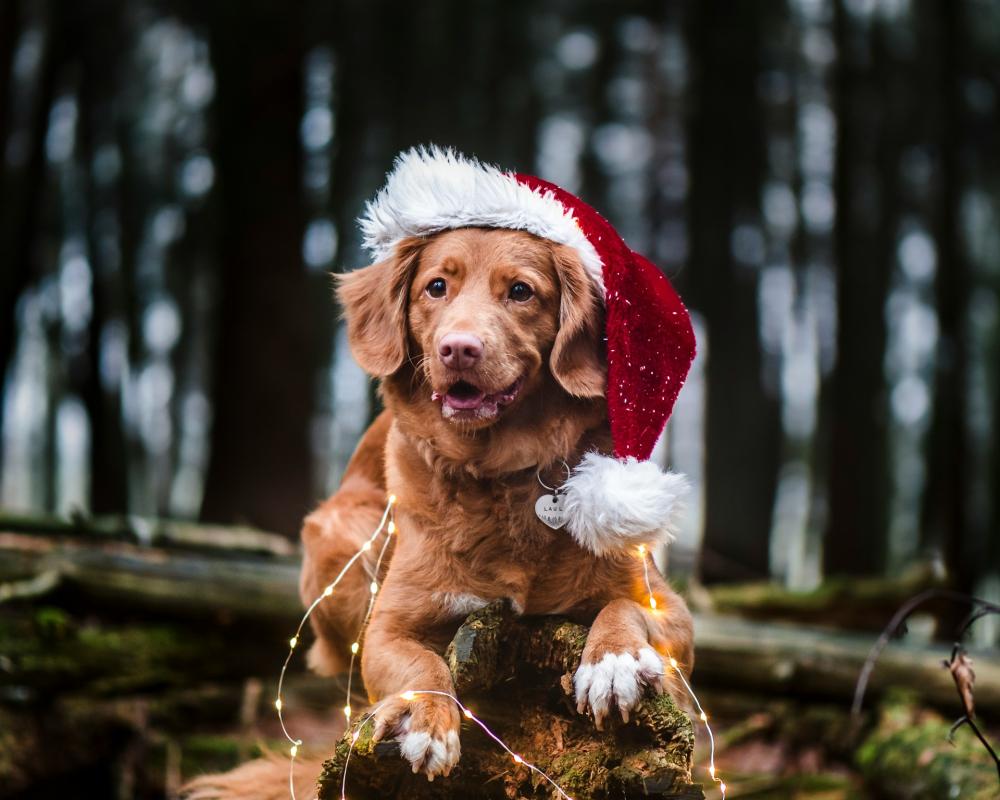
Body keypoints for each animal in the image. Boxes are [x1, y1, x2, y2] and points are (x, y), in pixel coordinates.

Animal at [300, 227, 692, 780]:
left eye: (521, 292)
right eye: (436, 286)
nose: (458, 349)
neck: (497, 474)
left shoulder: (671, 609)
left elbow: (624, 605)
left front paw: (613, 661)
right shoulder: (385, 629)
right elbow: (420, 662)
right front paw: (425, 717)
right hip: (342, 535)